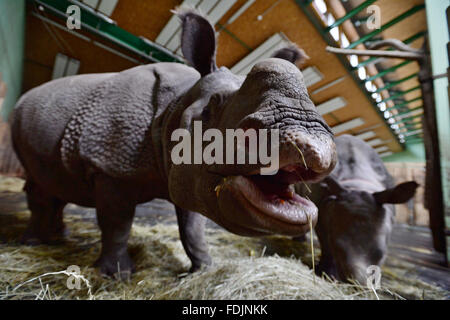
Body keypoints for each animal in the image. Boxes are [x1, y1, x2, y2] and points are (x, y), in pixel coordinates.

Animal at [10, 11, 336, 278]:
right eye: (210, 110)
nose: (312, 145)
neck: (177, 104)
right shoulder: (109, 167)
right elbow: (117, 224)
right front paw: (116, 275)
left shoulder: (190, 173)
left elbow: (192, 228)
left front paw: (204, 268)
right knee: (39, 183)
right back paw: (35, 242)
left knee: (54, 181)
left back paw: (58, 235)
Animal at [298, 134, 418, 284]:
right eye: (337, 248)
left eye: (381, 253)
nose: (358, 283)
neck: (357, 184)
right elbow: (325, 243)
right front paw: (327, 273)